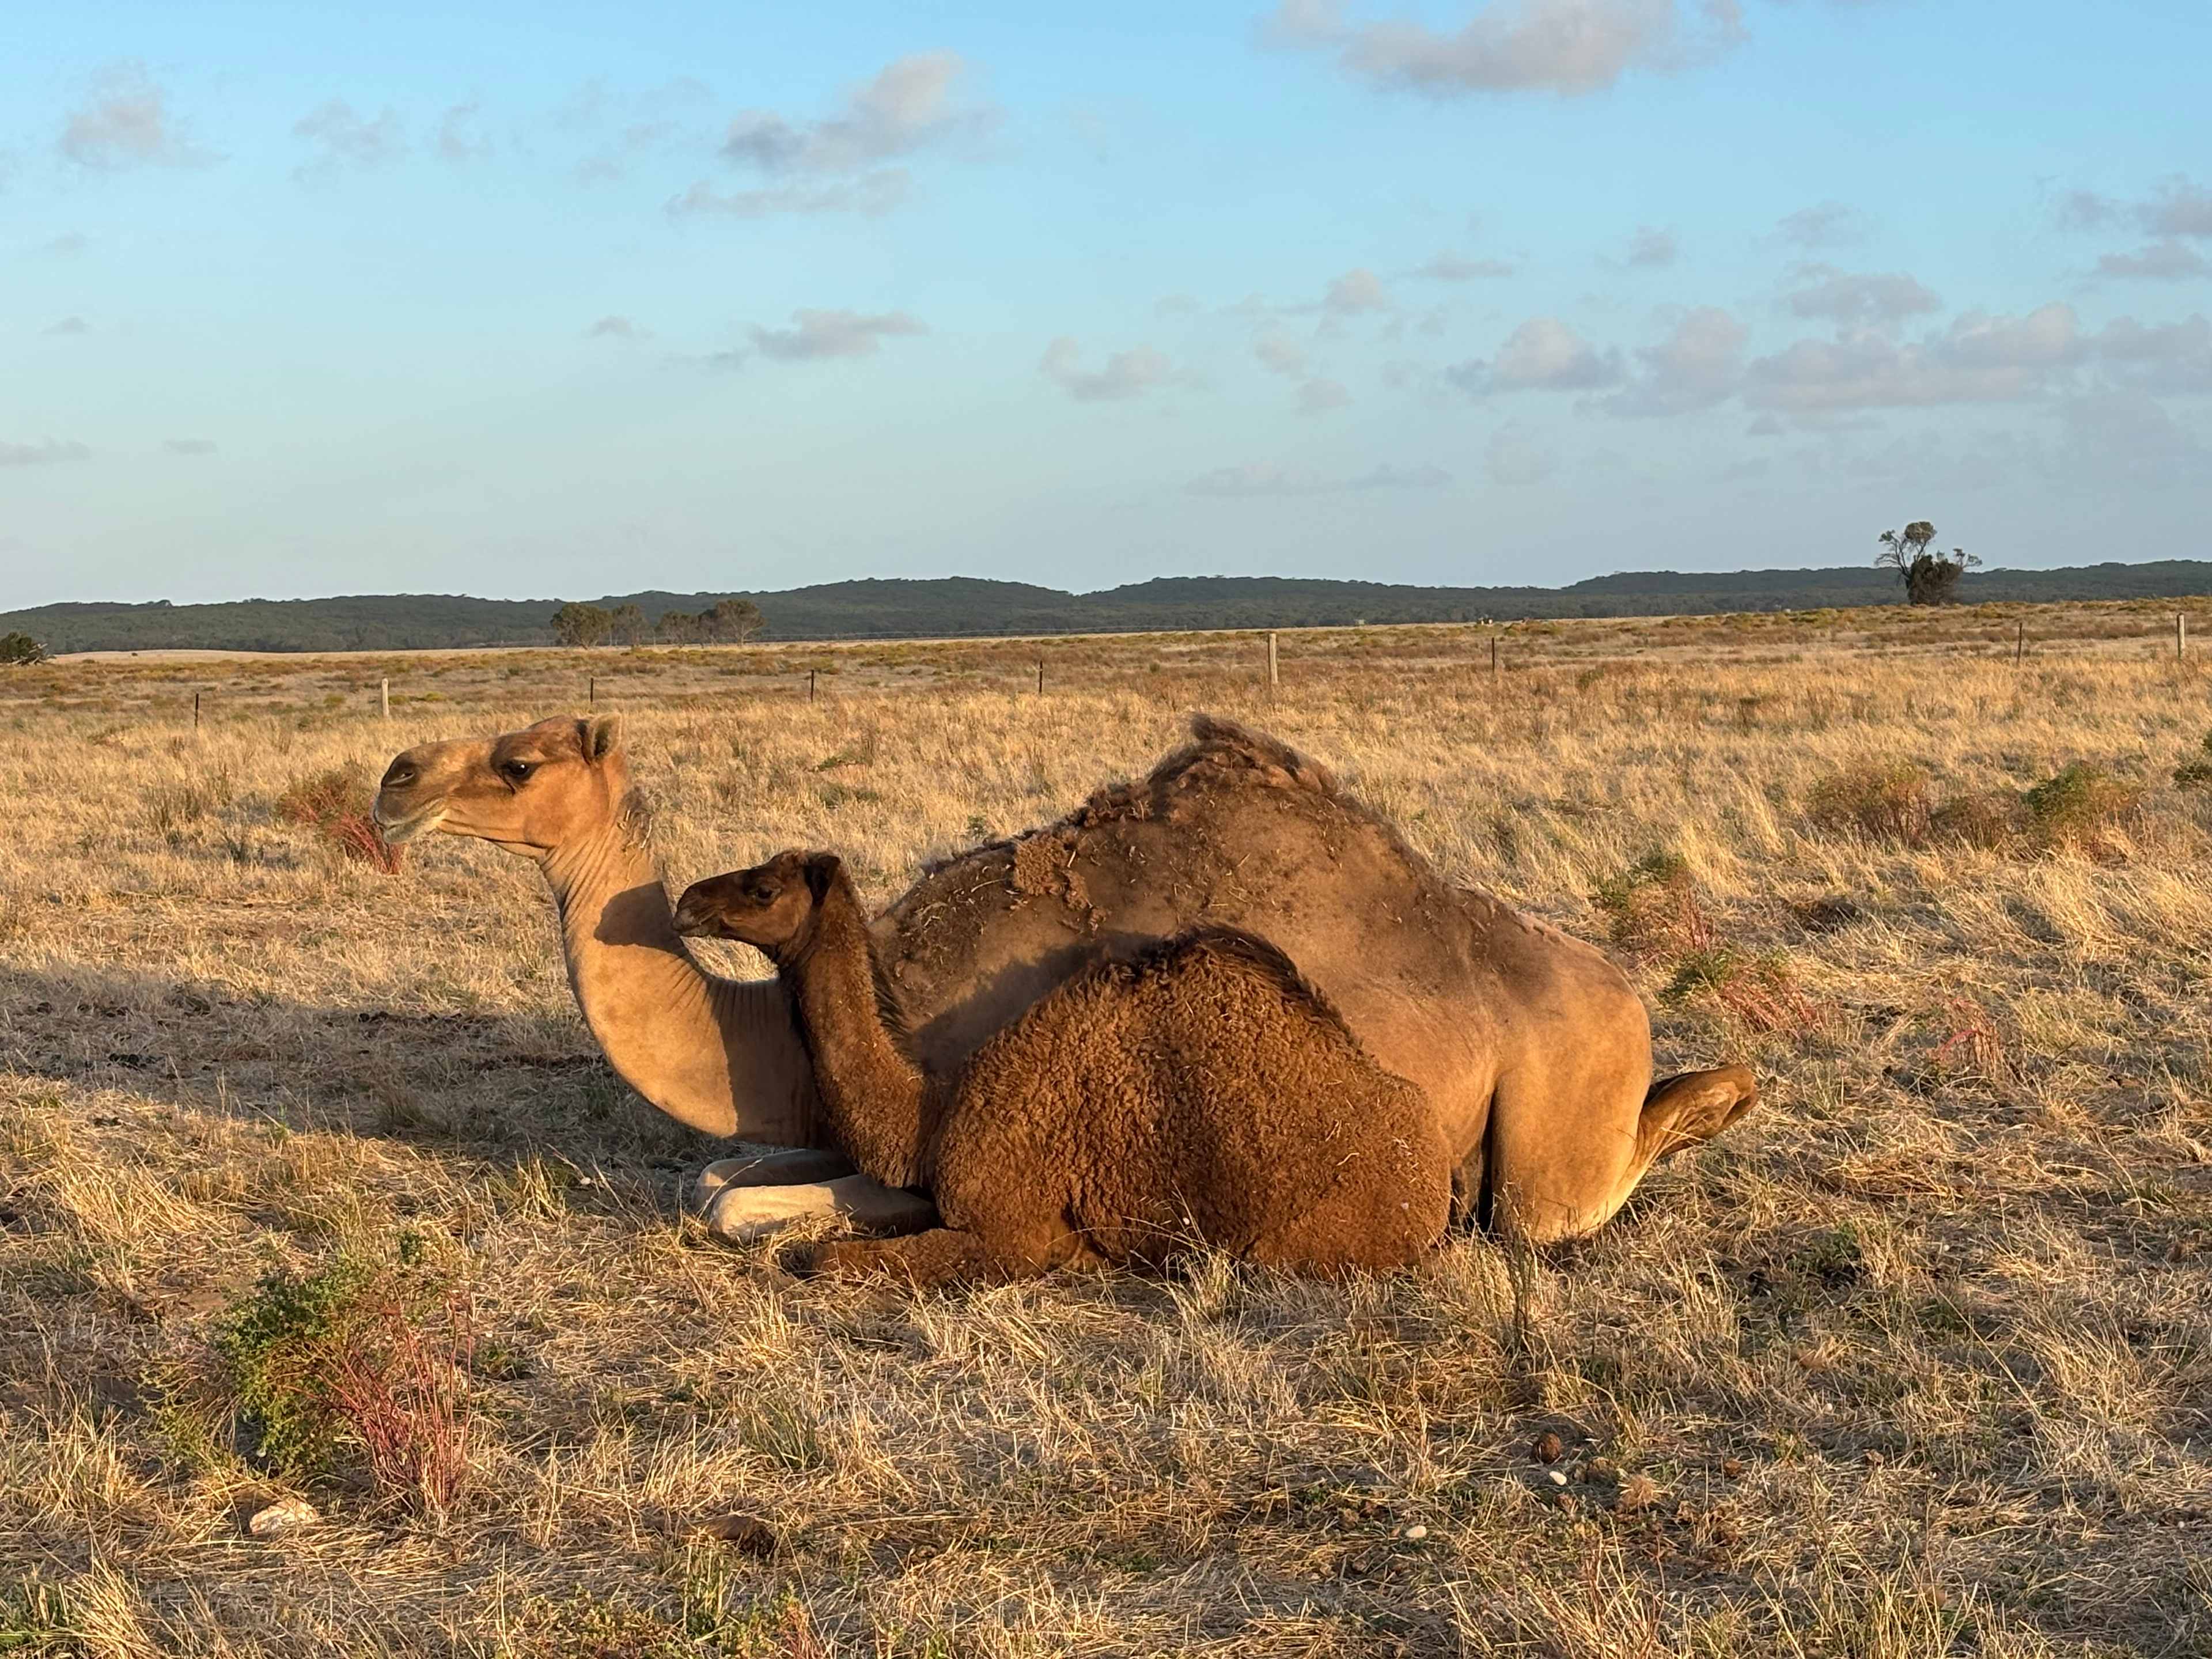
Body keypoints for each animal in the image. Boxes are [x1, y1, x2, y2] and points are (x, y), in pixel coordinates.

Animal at [669, 850, 1451, 1283]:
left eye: (763, 890)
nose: (686, 904)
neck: (934, 1117)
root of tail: (1433, 1167)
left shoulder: (1008, 1237)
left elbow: (822, 1258)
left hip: (1307, 1243)